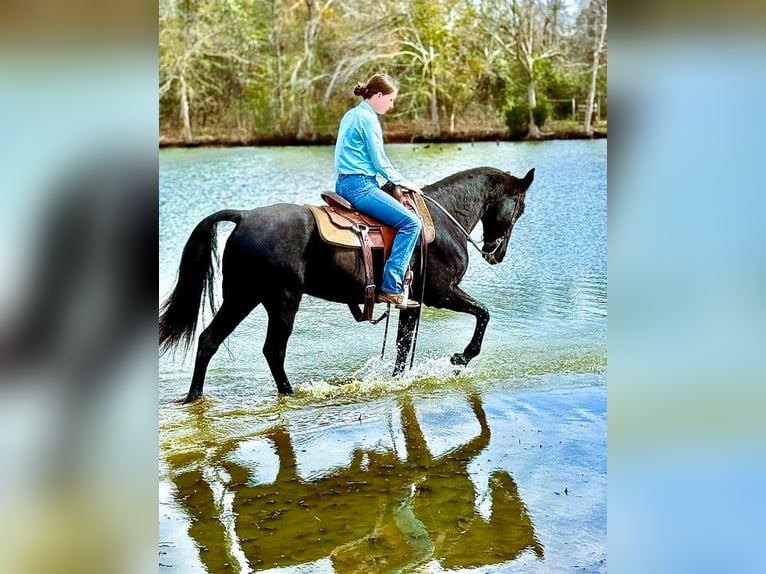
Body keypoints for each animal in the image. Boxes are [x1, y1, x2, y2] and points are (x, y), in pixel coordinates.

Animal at [160, 166, 536, 402]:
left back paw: (194, 397)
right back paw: (290, 393)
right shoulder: (442, 294)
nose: (496, 254)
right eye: (520, 208)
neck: (442, 222)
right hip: (280, 300)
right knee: (272, 350)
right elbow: (483, 313)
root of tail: (244, 216)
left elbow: (402, 347)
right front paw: (462, 357)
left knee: (209, 340)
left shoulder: (411, 303)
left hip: (244, 296)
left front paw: (397, 382)